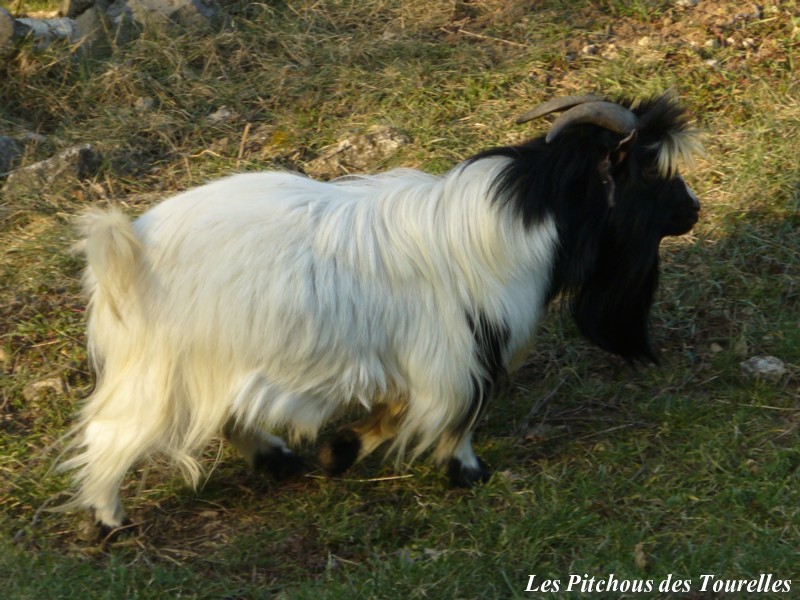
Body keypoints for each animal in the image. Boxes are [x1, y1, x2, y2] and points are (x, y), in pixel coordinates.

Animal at [61, 91, 700, 528]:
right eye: (648, 169)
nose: (692, 209)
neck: (506, 231)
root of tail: (128, 250)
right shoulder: (454, 356)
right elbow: (450, 416)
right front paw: (466, 473)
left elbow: (399, 412)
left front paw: (333, 452)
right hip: (160, 368)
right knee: (115, 429)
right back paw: (110, 519)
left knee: (226, 416)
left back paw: (278, 460)